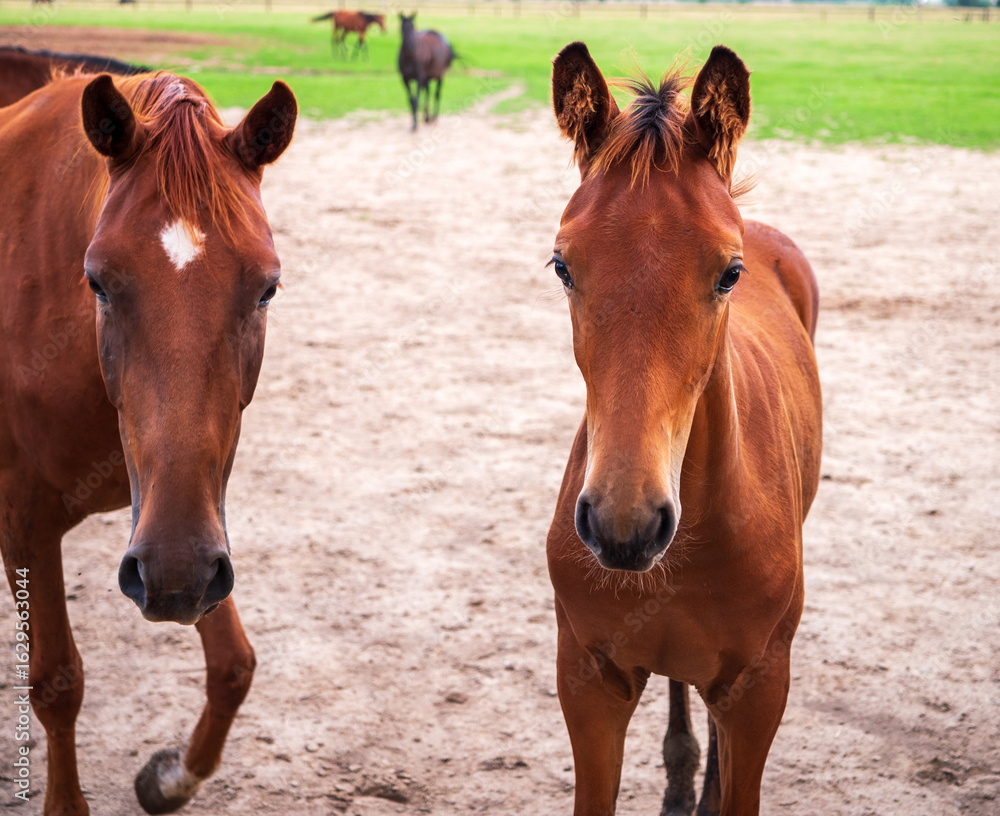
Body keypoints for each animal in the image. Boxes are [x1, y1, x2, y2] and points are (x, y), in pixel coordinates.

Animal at [0, 69, 296, 815]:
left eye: (268, 289)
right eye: (97, 281)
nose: (172, 575)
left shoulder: (186, 523)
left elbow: (233, 665)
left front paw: (169, 777)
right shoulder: (23, 523)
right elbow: (54, 682)